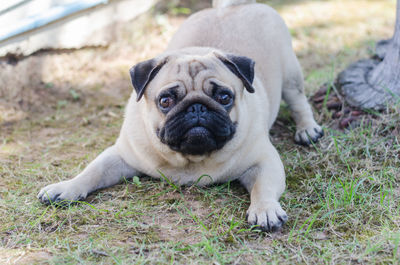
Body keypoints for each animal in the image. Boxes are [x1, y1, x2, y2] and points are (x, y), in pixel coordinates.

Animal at [38, 0, 324, 231]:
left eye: (224, 97)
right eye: (166, 101)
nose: (197, 108)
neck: (191, 160)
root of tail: (232, 7)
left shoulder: (264, 161)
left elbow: (263, 187)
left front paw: (264, 209)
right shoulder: (120, 156)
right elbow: (92, 171)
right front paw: (66, 188)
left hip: (291, 75)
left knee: (299, 102)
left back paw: (307, 130)